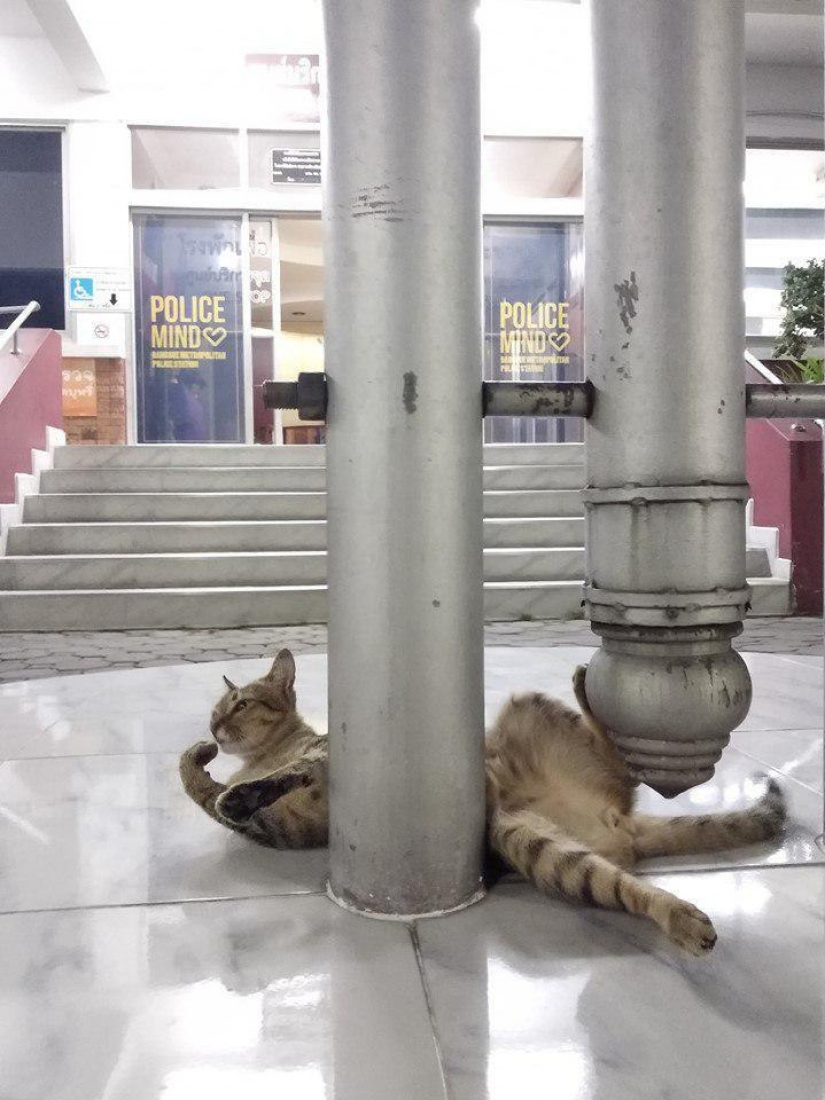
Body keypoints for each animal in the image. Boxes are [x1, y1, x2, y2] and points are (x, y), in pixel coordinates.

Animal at [180, 642, 787, 954]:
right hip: (536, 846)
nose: (212, 725)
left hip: (528, 718)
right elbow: (209, 791)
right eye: (217, 708)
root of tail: (622, 824)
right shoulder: (279, 828)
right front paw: (216, 773)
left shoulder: (323, 760)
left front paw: (213, 767)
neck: (267, 753)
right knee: (624, 866)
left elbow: (226, 783)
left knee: (622, 758)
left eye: (240, 704)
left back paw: (586, 684)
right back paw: (681, 918)